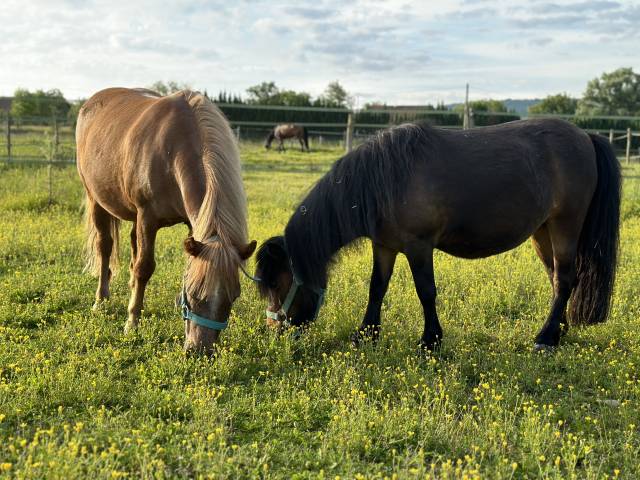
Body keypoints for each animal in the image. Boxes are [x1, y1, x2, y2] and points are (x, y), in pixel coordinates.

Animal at [79, 88, 258, 354]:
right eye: (194, 294)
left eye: (233, 296)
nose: (200, 351)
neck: (173, 150)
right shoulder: (147, 218)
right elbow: (144, 267)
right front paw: (132, 322)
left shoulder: (192, 224)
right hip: (96, 200)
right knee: (105, 247)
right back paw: (100, 300)